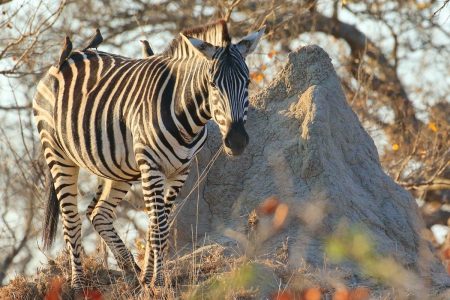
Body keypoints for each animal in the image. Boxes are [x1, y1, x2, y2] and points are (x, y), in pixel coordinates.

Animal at [33, 19, 266, 290]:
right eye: (212, 85)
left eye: (247, 82)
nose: (237, 141)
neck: (185, 112)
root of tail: (68, 57)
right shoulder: (151, 166)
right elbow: (160, 225)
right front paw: (158, 281)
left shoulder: (180, 170)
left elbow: (157, 226)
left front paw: (148, 278)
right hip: (58, 154)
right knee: (71, 219)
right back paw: (79, 285)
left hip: (118, 167)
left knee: (98, 212)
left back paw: (130, 271)